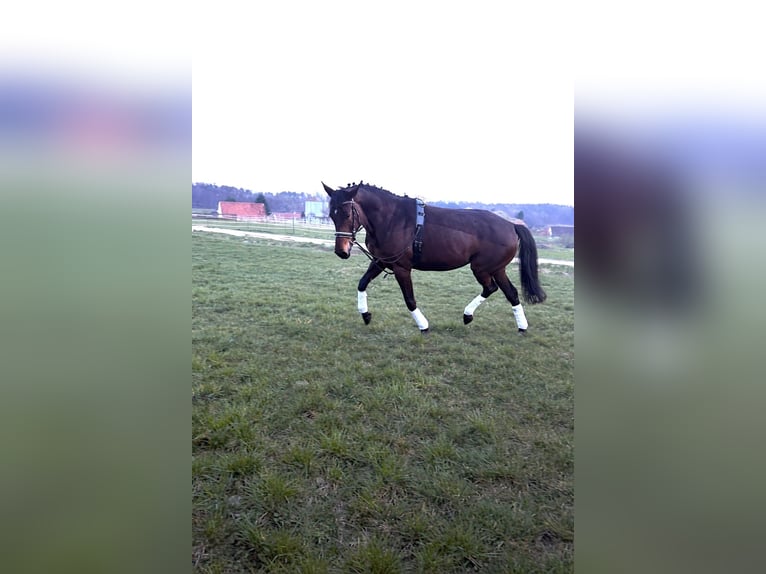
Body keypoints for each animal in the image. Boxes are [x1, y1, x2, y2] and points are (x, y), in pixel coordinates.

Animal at [322, 181, 547, 333]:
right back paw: (520, 326)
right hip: (497, 269)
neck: (391, 219)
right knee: (511, 293)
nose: (341, 251)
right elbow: (362, 283)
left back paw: (468, 315)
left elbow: (409, 299)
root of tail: (511, 225)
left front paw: (423, 325)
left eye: (347, 214)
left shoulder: (401, 268)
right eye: (332, 214)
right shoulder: (381, 261)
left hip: (482, 268)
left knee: (491, 288)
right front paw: (366, 314)